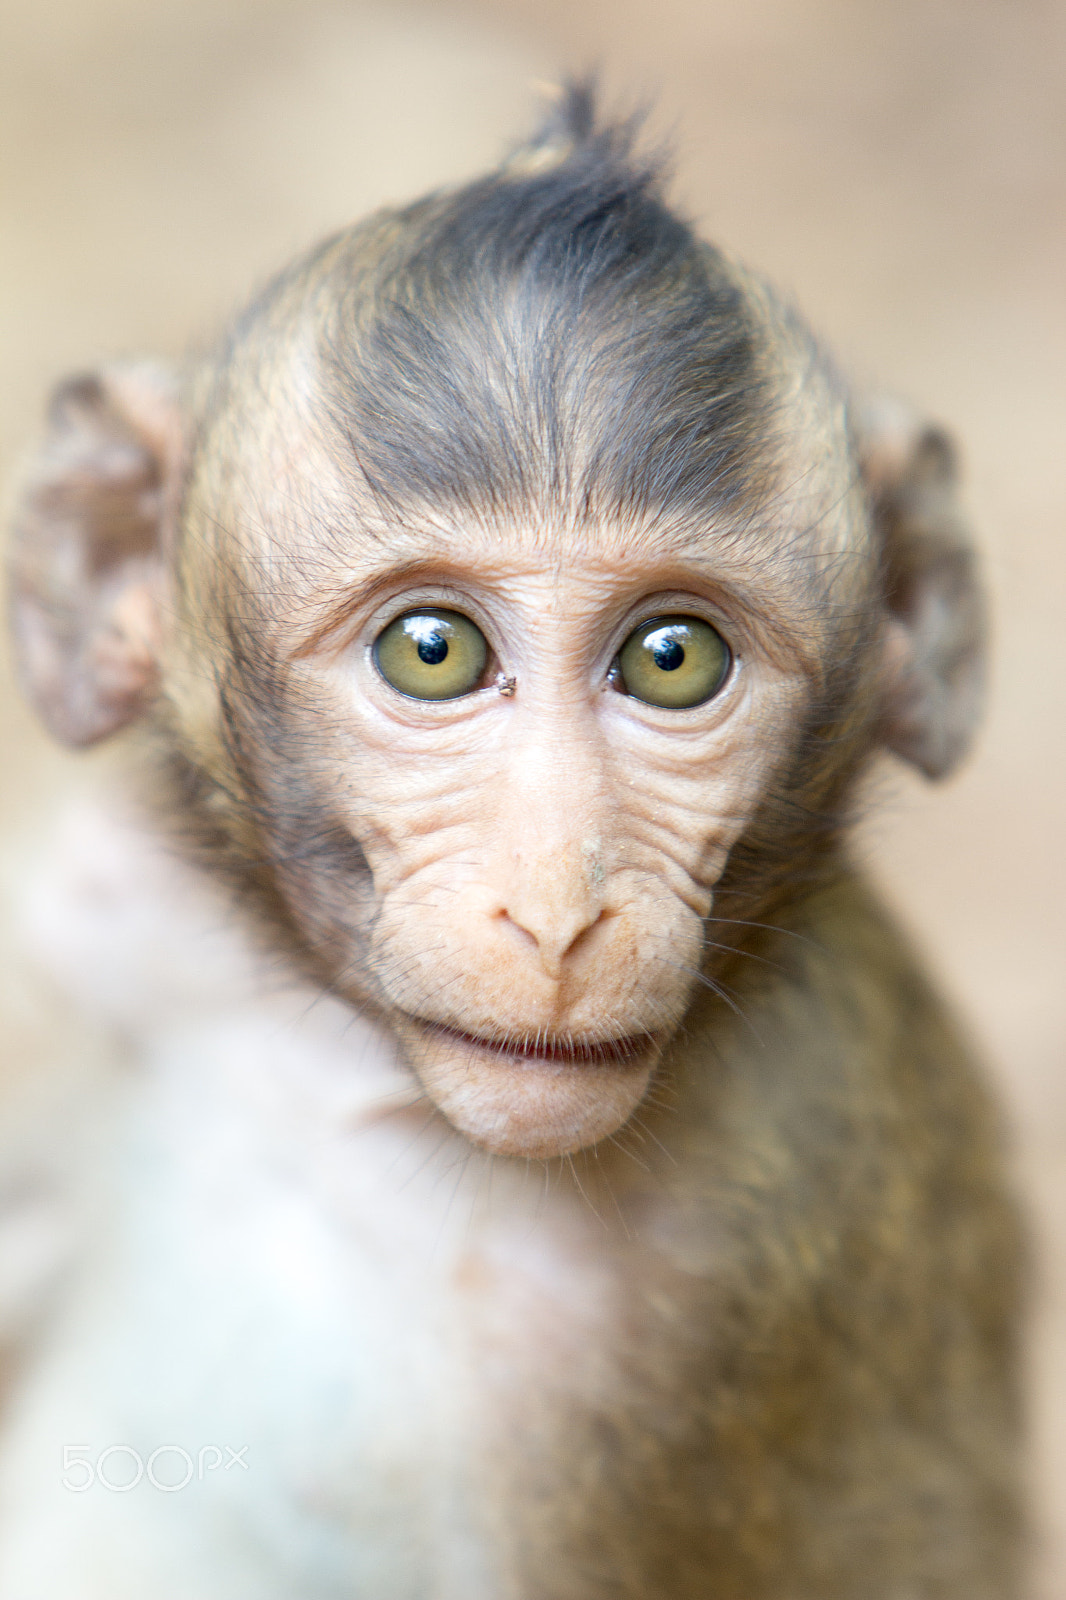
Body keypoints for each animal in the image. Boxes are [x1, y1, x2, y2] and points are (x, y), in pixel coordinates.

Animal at [0, 86, 1024, 1599]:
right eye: (430, 651)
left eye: (672, 658)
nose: (553, 914)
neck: (362, 1093)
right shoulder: (89, 932)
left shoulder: (737, 1269)